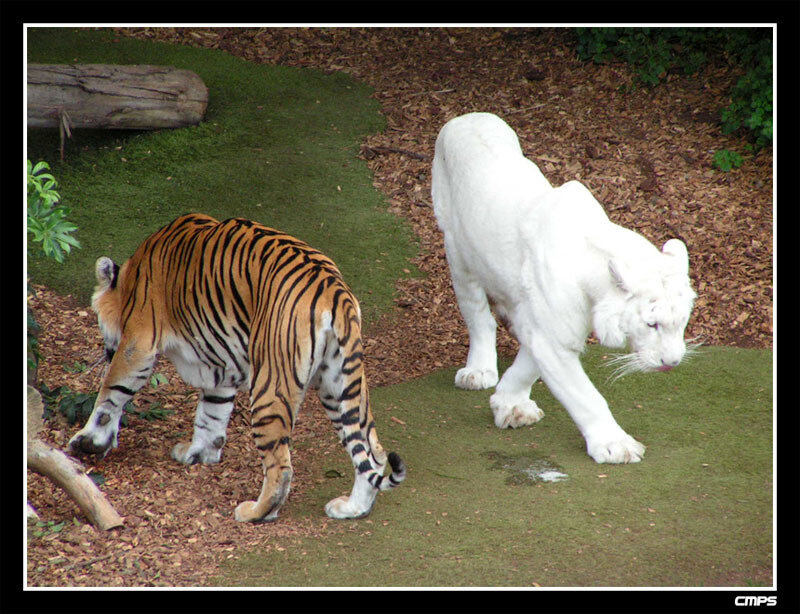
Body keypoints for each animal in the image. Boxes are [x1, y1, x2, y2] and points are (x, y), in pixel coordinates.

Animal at [67, 213, 406, 522]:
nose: (104, 351)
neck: (130, 280)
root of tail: (334, 289)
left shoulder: (138, 344)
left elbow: (110, 395)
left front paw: (88, 442)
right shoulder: (220, 366)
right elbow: (211, 414)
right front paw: (199, 452)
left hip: (270, 384)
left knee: (281, 466)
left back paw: (255, 513)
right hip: (340, 386)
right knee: (372, 453)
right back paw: (352, 508)